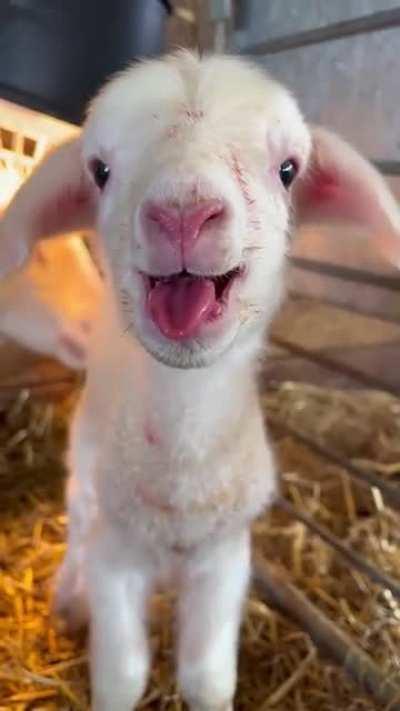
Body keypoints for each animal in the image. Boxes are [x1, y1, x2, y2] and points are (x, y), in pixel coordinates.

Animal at [0, 50, 399, 711]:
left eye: (288, 170)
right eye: (100, 171)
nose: (183, 214)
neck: (180, 482)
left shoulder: (225, 557)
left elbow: (207, 678)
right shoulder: (116, 556)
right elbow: (122, 676)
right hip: (86, 473)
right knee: (77, 524)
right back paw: (67, 598)